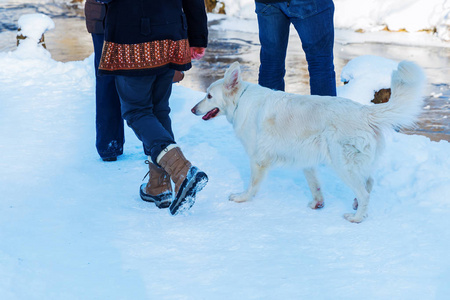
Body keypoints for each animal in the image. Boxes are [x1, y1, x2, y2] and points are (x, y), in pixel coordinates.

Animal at [191, 61, 426, 221]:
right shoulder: (306, 160)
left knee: (365, 192)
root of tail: (364, 112)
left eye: (209, 96)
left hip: (343, 165)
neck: (241, 101)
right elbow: (315, 185)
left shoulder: (258, 160)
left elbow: (252, 186)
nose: (192, 109)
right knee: (369, 183)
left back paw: (357, 217)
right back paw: (356, 204)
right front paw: (317, 203)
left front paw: (242, 198)